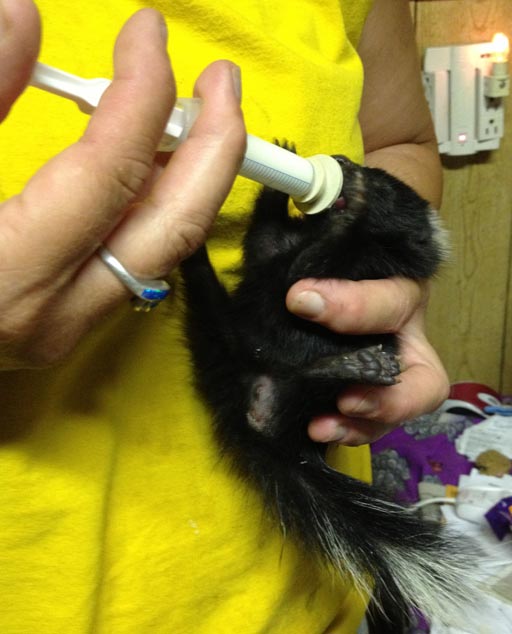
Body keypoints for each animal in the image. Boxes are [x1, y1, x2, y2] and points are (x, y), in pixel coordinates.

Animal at [179, 154, 480, 628]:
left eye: (381, 185)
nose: (343, 164)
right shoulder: (280, 251)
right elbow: (266, 242)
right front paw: (277, 187)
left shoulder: (359, 267)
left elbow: (305, 268)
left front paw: (349, 211)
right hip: (226, 336)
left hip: (291, 385)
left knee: (308, 380)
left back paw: (357, 365)